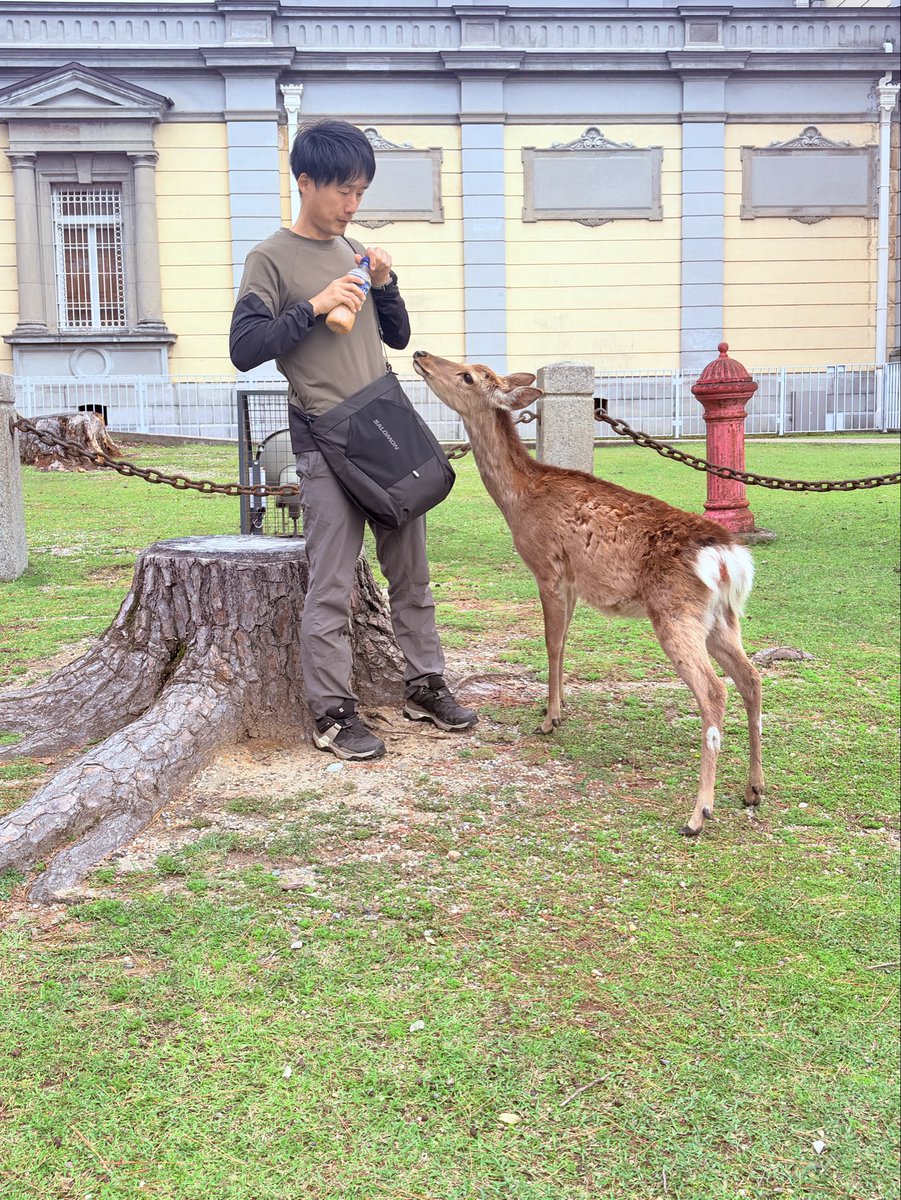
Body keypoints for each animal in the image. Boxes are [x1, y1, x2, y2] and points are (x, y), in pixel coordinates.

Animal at [412, 350, 763, 837]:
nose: (421, 354)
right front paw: (560, 710)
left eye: (468, 375)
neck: (518, 499)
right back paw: (754, 789)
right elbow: (565, 642)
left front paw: (548, 719)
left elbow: (550, 641)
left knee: (714, 691)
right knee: (752, 678)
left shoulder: (547, 566)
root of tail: (730, 559)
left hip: (676, 612)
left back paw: (698, 814)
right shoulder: (575, 581)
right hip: (723, 618)